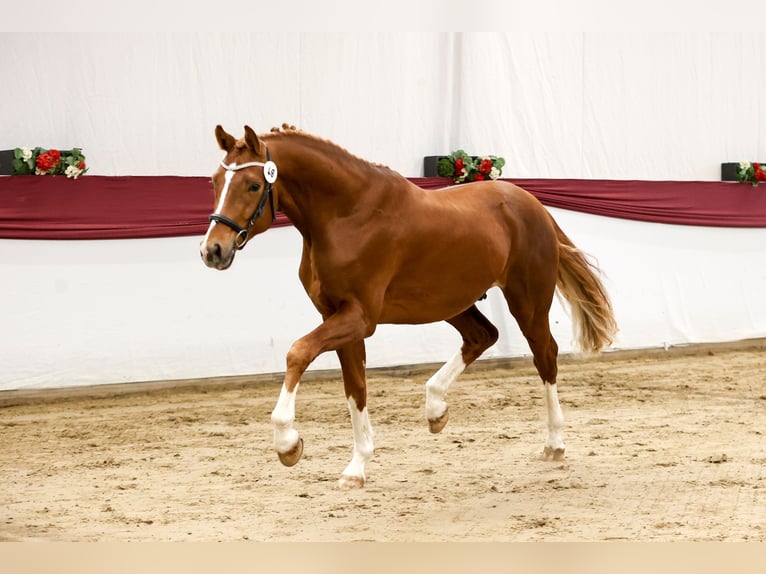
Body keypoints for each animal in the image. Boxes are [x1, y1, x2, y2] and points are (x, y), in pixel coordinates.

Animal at [200, 124, 618, 490]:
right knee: (483, 336)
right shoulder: (337, 318)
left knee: (544, 355)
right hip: (452, 301)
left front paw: (288, 444)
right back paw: (436, 409)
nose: (212, 250)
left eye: (254, 184)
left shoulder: (359, 318)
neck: (347, 215)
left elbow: (297, 352)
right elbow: (356, 388)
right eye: (215, 182)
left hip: (527, 301)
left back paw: (554, 444)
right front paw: (357, 467)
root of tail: (533, 205)